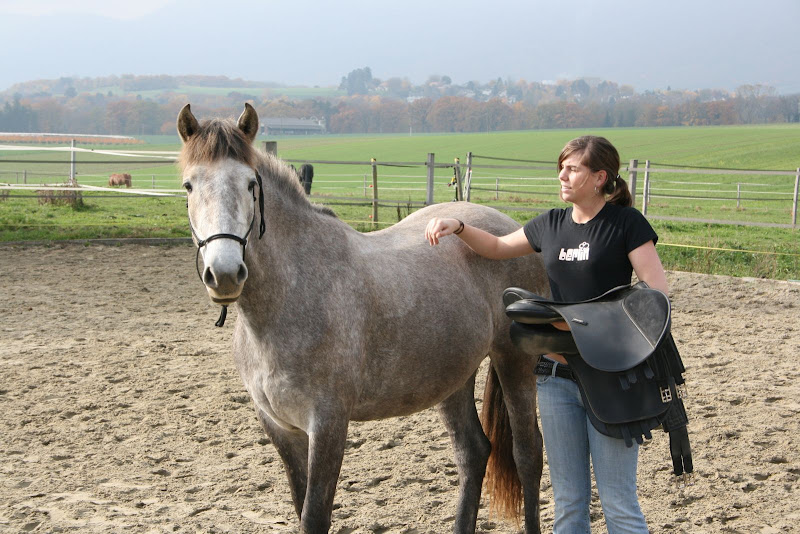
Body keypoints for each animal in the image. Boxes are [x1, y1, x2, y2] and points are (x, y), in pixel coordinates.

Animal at [176, 102, 552, 532]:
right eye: (189, 186)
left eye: (251, 185)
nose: (224, 273)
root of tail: (512, 231)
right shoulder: (280, 428)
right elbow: (300, 506)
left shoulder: (327, 424)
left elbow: (315, 515)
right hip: (452, 376)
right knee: (473, 452)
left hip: (514, 361)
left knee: (528, 453)